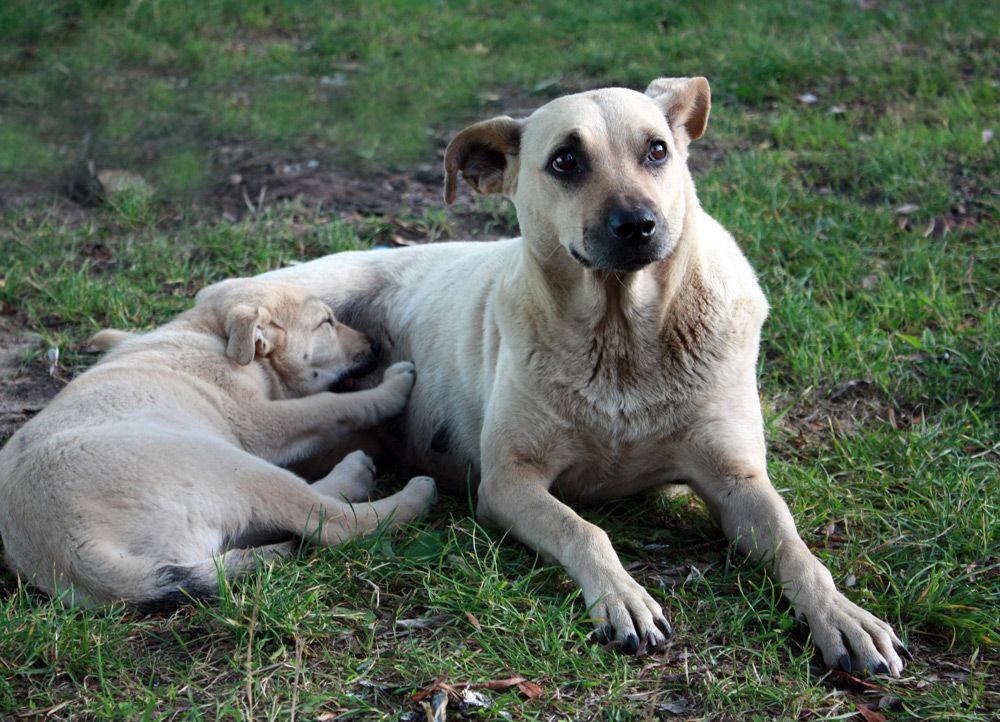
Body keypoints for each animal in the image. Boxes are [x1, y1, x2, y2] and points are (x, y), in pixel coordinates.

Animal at [0, 276, 438, 608]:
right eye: (326, 322)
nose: (376, 346)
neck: (209, 331)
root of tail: (76, 555)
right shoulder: (263, 421)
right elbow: (333, 406)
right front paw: (393, 388)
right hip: (230, 464)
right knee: (332, 522)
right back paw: (407, 492)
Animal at [262, 77, 912, 676]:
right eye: (565, 161)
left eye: (657, 150)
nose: (638, 224)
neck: (623, 338)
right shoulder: (510, 481)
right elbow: (583, 530)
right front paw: (623, 597)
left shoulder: (736, 479)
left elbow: (795, 547)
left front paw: (843, 615)